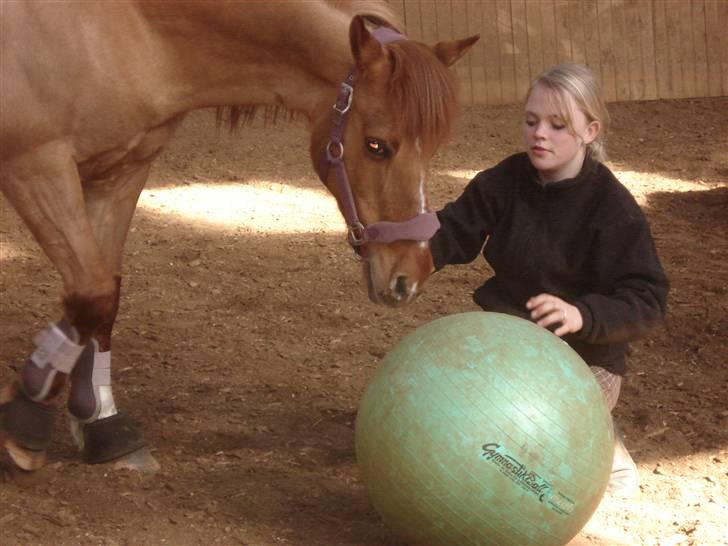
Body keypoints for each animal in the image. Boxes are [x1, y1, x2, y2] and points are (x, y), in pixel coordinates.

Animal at [0, 0, 478, 470]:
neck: (126, 30)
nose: (409, 276)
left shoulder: (121, 172)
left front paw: (98, 420)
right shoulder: (36, 166)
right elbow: (91, 293)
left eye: (432, 148)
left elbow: (105, 296)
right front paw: (26, 414)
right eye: (377, 145)